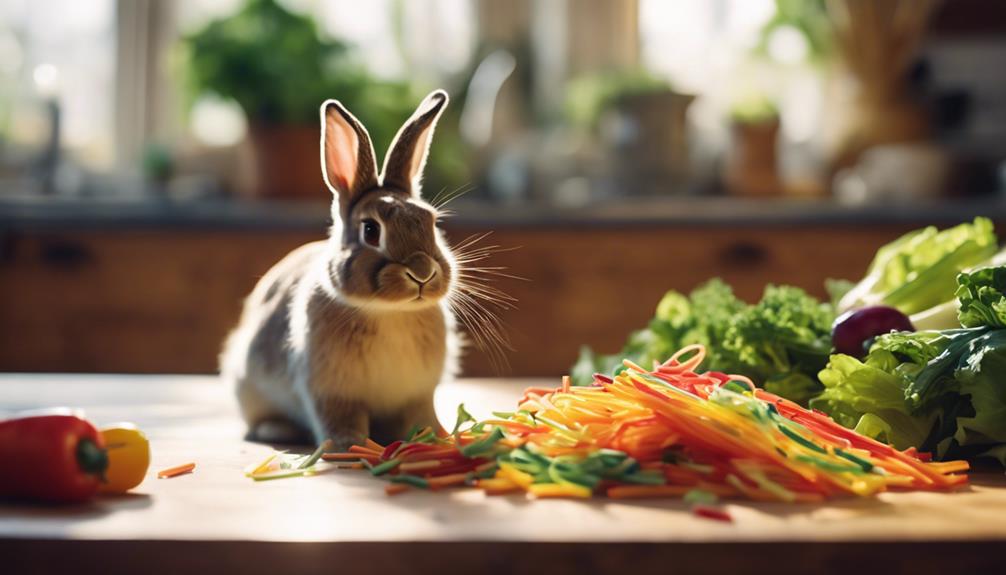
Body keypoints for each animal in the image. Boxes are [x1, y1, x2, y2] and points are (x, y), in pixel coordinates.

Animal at [220, 90, 462, 449]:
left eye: (431, 223)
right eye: (371, 231)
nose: (422, 272)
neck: (389, 311)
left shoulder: (417, 395)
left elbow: (420, 418)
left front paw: (437, 439)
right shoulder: (332, 393)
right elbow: (341, 418)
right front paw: (350, 445)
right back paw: (277, 430)